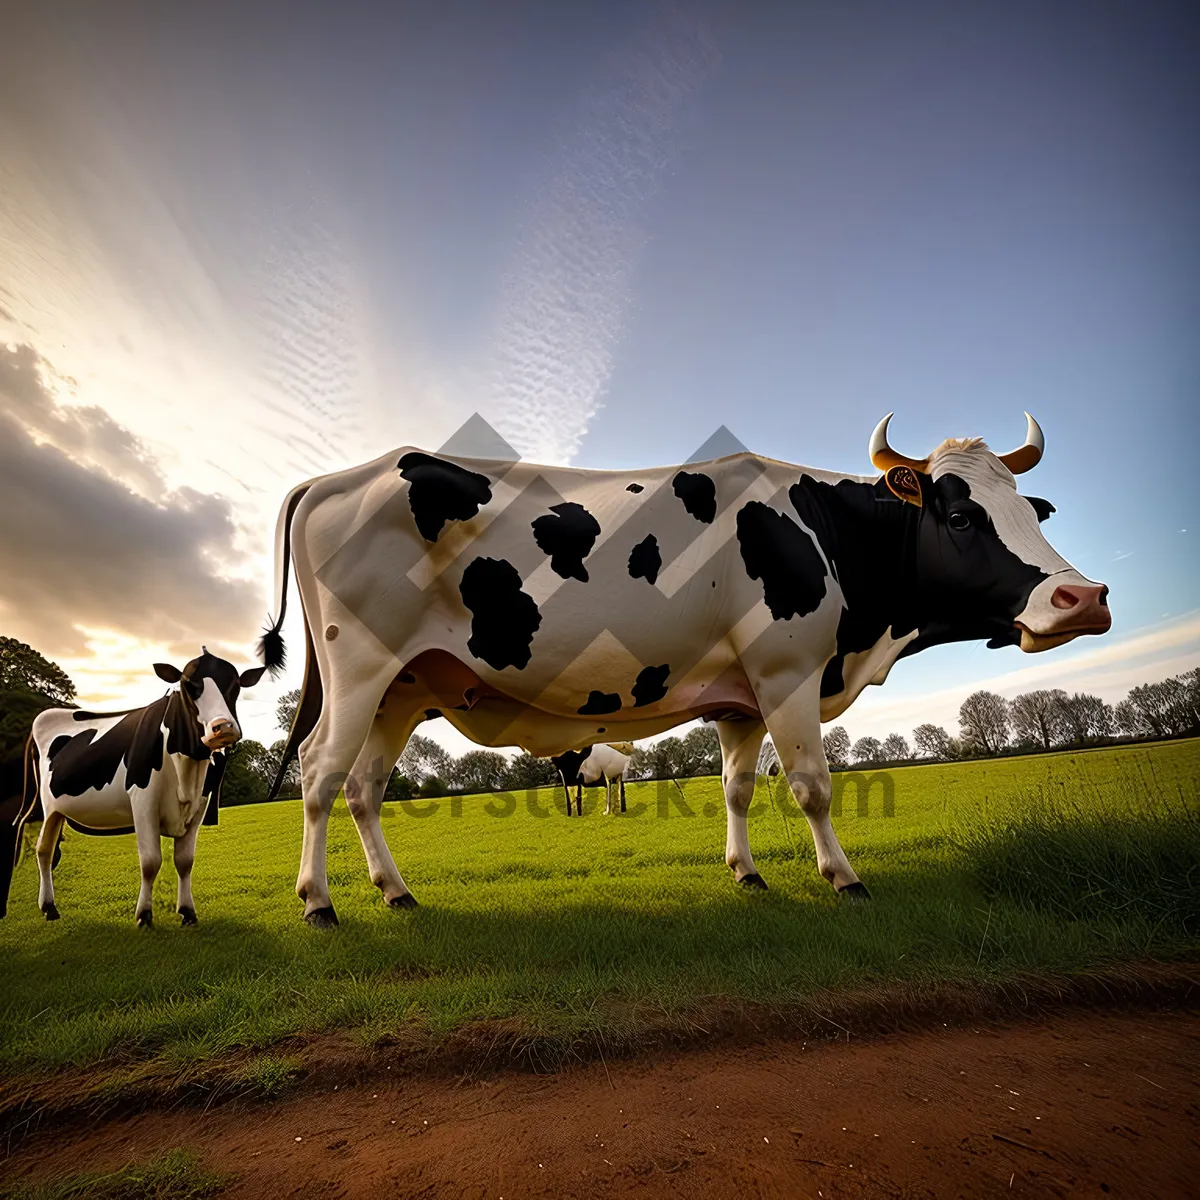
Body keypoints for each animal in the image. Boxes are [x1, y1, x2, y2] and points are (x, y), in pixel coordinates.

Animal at [10, 652, 264, 921]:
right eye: (188, 685)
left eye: (236, 685)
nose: (223, 727)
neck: (187, 775)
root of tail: (45, 715)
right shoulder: (143, 802)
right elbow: (151, 861)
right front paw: (144, 915)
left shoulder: (199, 807)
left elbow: (185, 861)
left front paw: (187, 912)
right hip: (47, 807)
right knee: (43, 850)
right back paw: (48, 907)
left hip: (58, 811)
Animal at [260, 412, 1104, 926]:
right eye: (960, 516)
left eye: (1031, 512)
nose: (1085, 599)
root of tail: (335, 478)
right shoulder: (788, 671)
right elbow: (812, 786)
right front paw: (845, 878)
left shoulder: (740, 701)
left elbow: (736, 787)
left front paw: (747, 873)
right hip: (360, 668)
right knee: (320, 774)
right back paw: (318, 903)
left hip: (404, 690)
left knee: (364, 789)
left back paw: (395, 892)